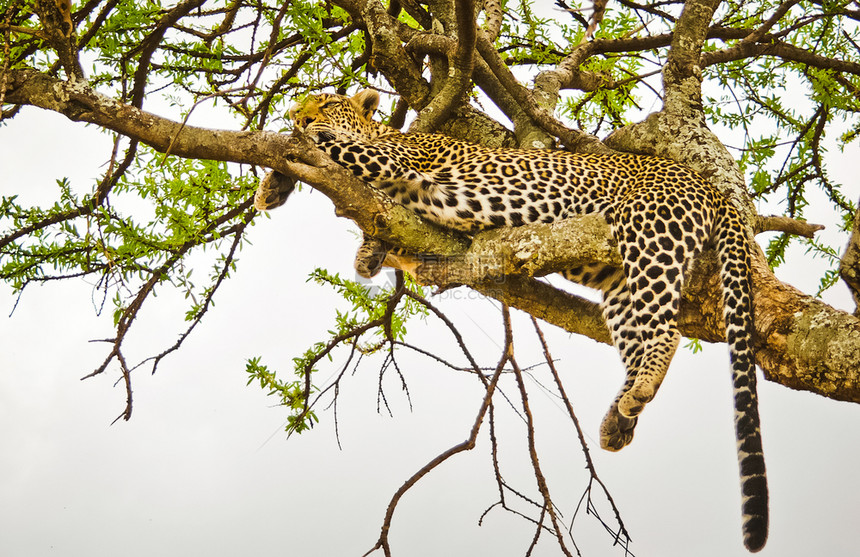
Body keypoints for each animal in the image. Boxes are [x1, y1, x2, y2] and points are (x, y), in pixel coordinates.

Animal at [262, 89, 764, 548]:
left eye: (327, 104)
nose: (298, 115)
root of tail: (708, 184)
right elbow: (375, 235)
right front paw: (289, 197)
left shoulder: (394, 158)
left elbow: (325, 148)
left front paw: (287, 153)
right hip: (620, 281)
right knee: (638, 334)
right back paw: (619, 417)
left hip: (650, 232)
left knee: (667, 329)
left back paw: (640, 388)